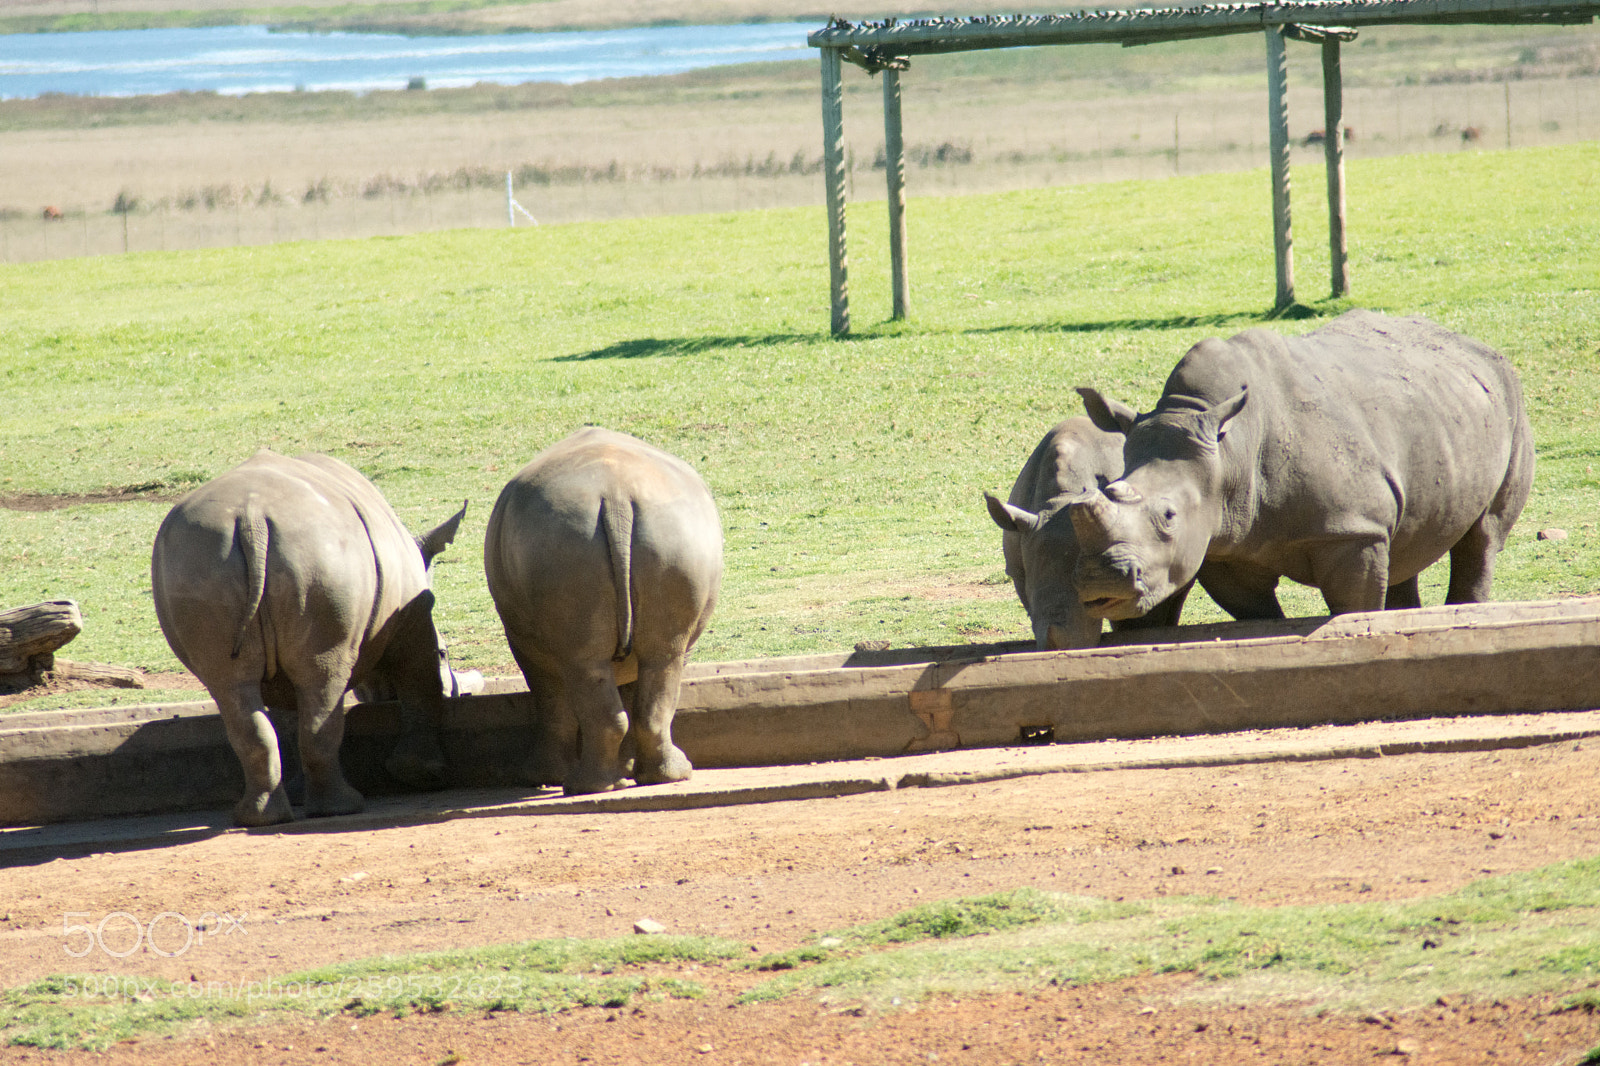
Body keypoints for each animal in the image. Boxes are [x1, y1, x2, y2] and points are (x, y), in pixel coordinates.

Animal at [151, 451, 466, 827]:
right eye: (445, 654)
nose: (457, 693)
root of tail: (252, 519)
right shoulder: (413, 616)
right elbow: (418, 676)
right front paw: (427, 776)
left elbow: (287, 713)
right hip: (320, 557)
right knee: (321, 680)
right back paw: (342, 808)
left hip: (202, 562)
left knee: (232, 686)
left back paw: (259, 818)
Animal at [484, 427, 723, 795]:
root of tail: (616, 495)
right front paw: (625, 771)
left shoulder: (524, 644)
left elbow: (549, 699)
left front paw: (541, 777)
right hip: (672, 539)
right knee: (661, 660)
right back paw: (662, 777)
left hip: (569, 544)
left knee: (586, 667)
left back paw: (585, 786)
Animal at [1070, 309, 1534, 621]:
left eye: (1168, 516)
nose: (1099, 582)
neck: (1230, 453)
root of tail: (1477, 346)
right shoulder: (1223, 545)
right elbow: (1260, 618)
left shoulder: (1352, 530)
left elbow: (1353, 606)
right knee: (1409, 542)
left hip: (1511, 402)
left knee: (1484, 536)